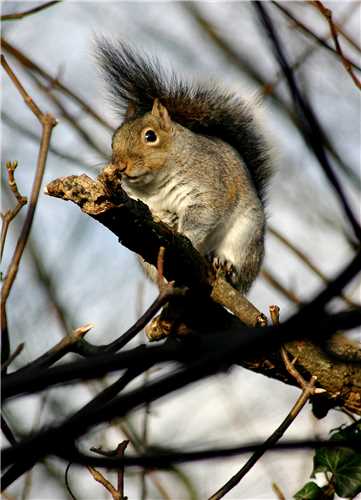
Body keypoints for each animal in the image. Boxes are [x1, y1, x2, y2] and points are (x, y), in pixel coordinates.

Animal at [97, 42, 272, 292]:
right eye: (113, 140)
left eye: (150, 136)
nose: (120, 165)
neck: (155, 184)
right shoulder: (144, 204)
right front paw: (168, 220)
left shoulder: (207, 187)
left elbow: (202, 217)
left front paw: (184, 233)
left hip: (246, 235)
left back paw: (225, 265)